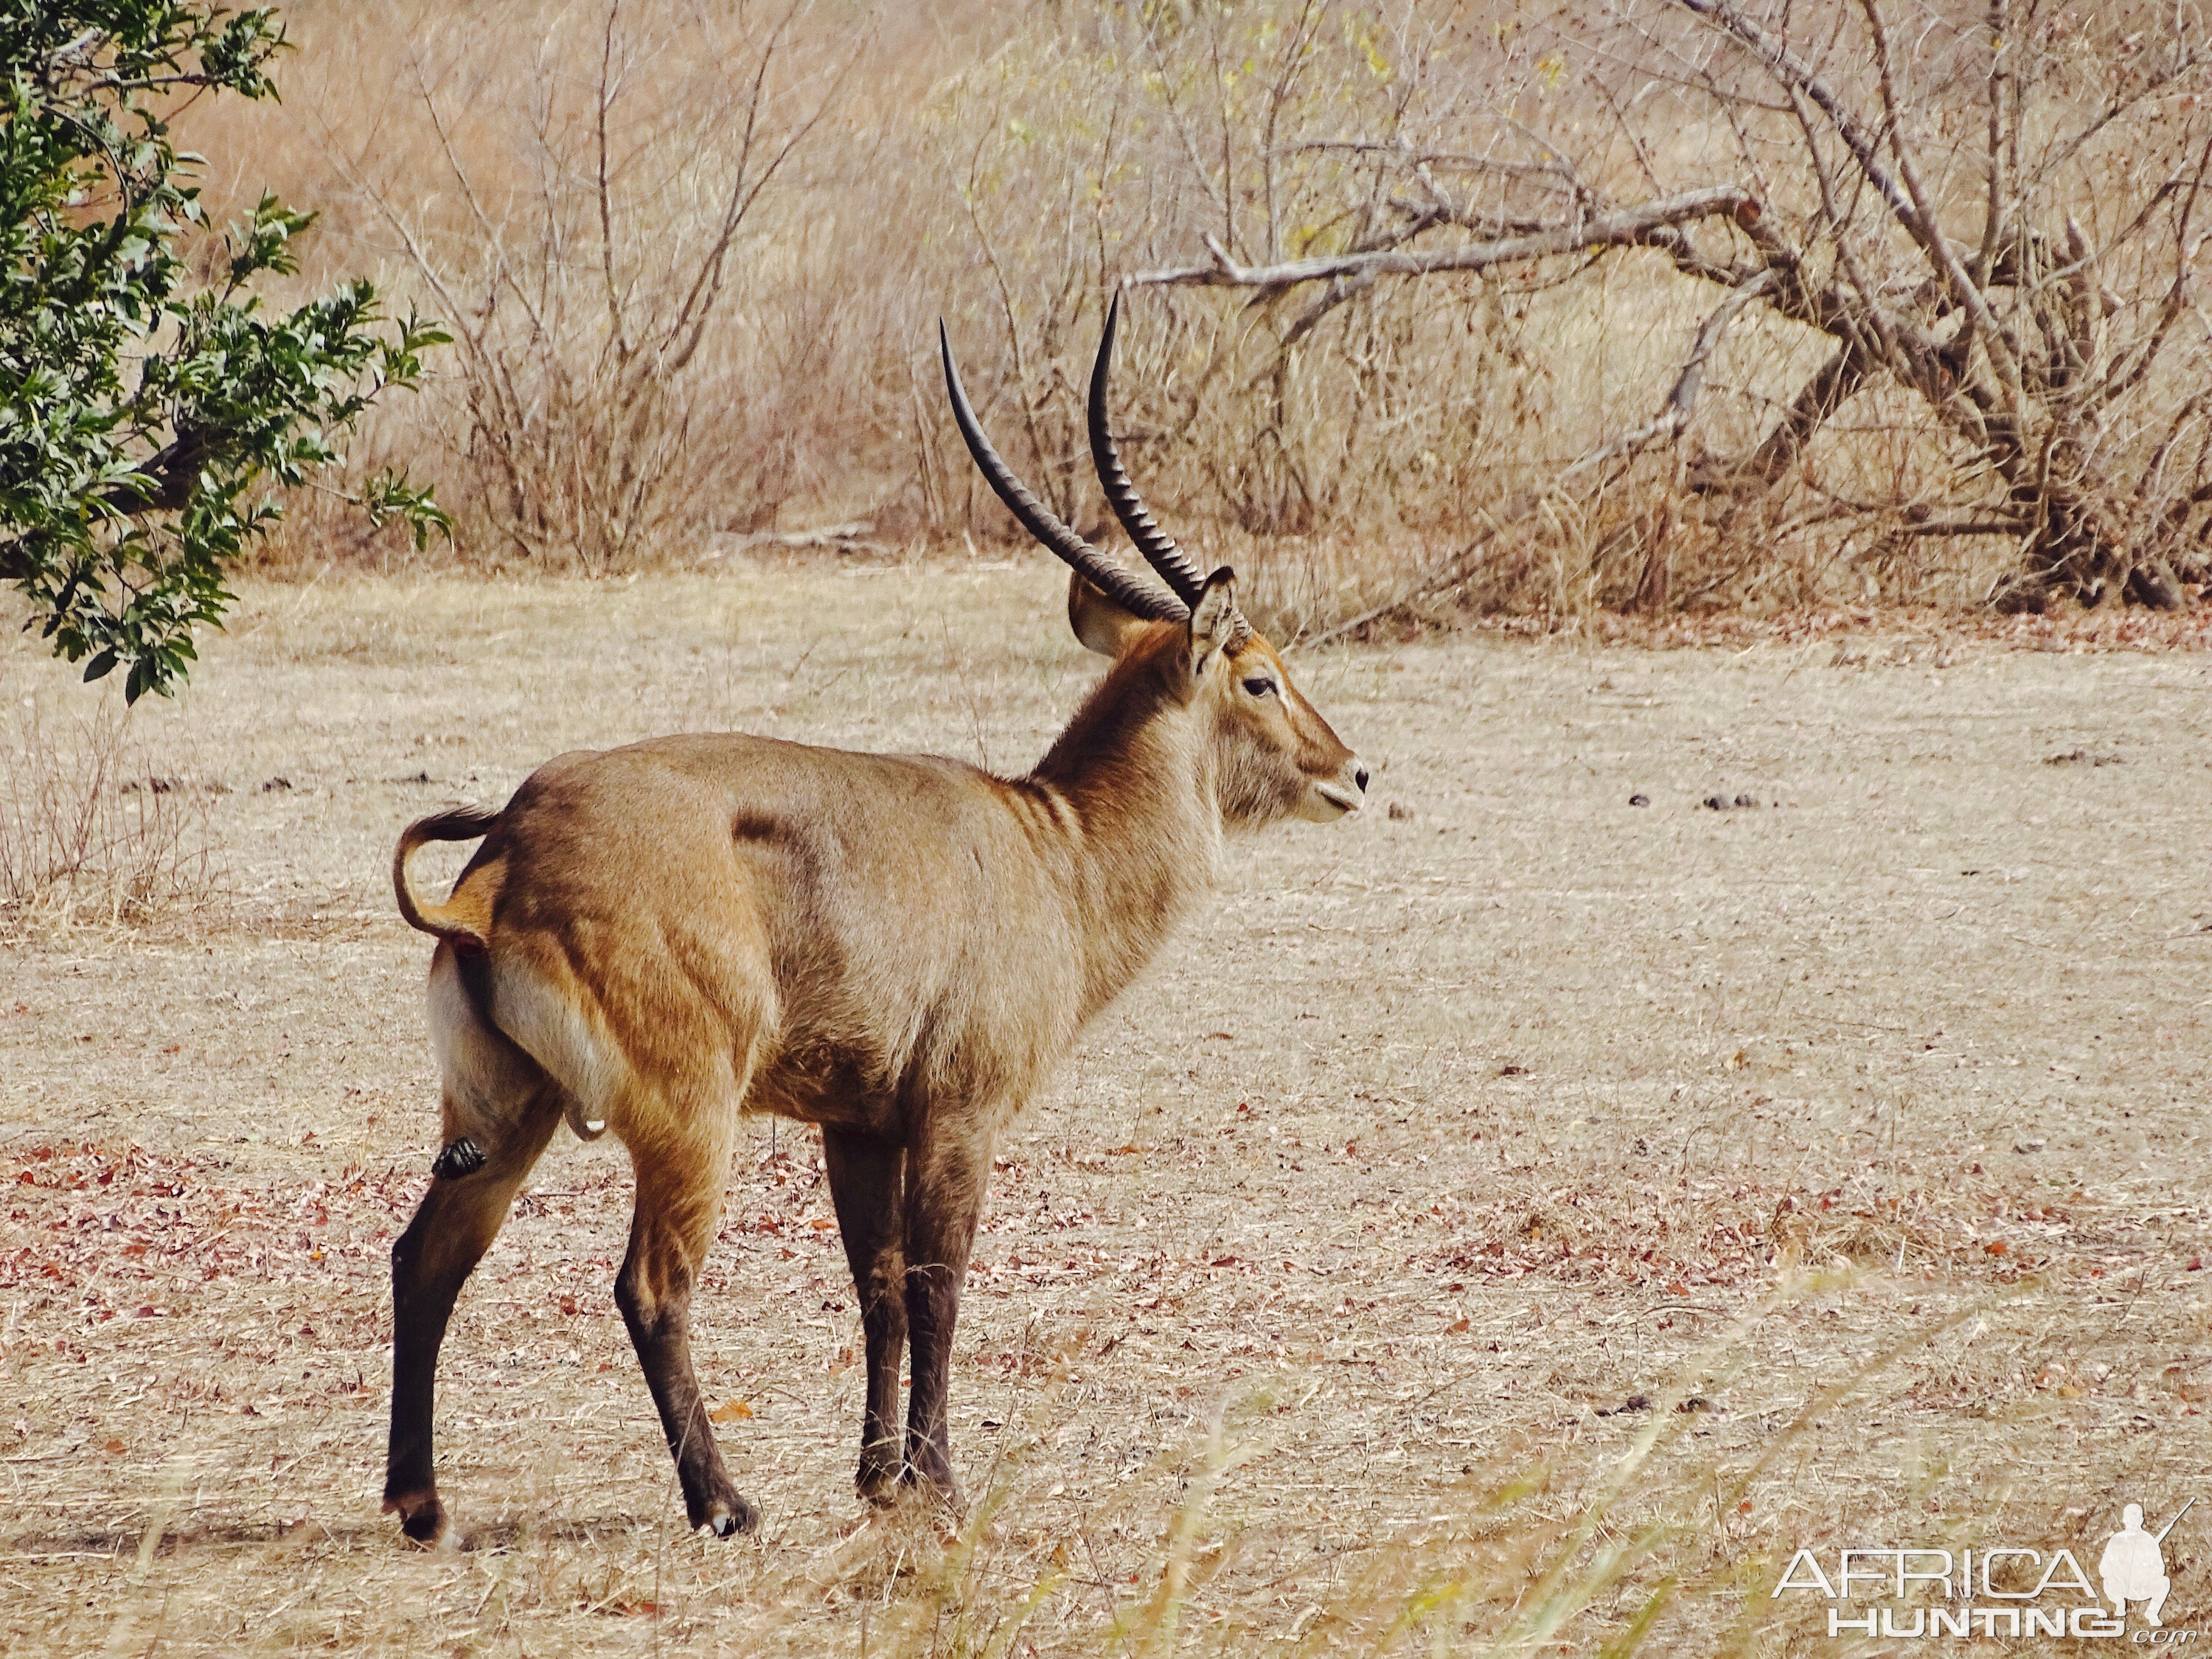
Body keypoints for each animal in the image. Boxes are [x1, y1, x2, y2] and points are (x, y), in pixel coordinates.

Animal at [385, 296, 1363, 1548]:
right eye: (1260, 675)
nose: (1354, 771)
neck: (1053, 847)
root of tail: (503, 851)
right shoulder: (960, 1115)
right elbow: (940, 1282)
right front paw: (938, 1481)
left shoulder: (855, 1124)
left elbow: (878, 1289)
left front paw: (877, 1477)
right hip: (685, 1123)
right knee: (650, 1286)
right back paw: (724, 1503)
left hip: (506, 1113)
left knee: (428, 1257)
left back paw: (423, 1505)